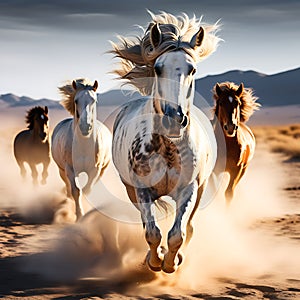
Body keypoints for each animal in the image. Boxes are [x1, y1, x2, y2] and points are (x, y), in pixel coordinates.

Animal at [51, 79, 112, 220]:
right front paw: (79, 215)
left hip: (102, 170)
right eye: (76, 100)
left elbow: (87, 190)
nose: (85, 127)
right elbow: (75, 191)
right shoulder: (70, 169)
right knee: (68, 187)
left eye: (94, 100)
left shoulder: (95, 170)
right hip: (62, 170)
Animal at [110, 11, 220, 274]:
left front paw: (171, 263)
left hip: (200, 189)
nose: (174, 119)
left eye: (192, 69)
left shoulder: (189, 189)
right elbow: (152, 232)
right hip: (131, 190)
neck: (168, 148)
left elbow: (177, 234)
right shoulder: (141, 190)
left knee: (189, 226)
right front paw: (154, 261)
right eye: (158, 68)